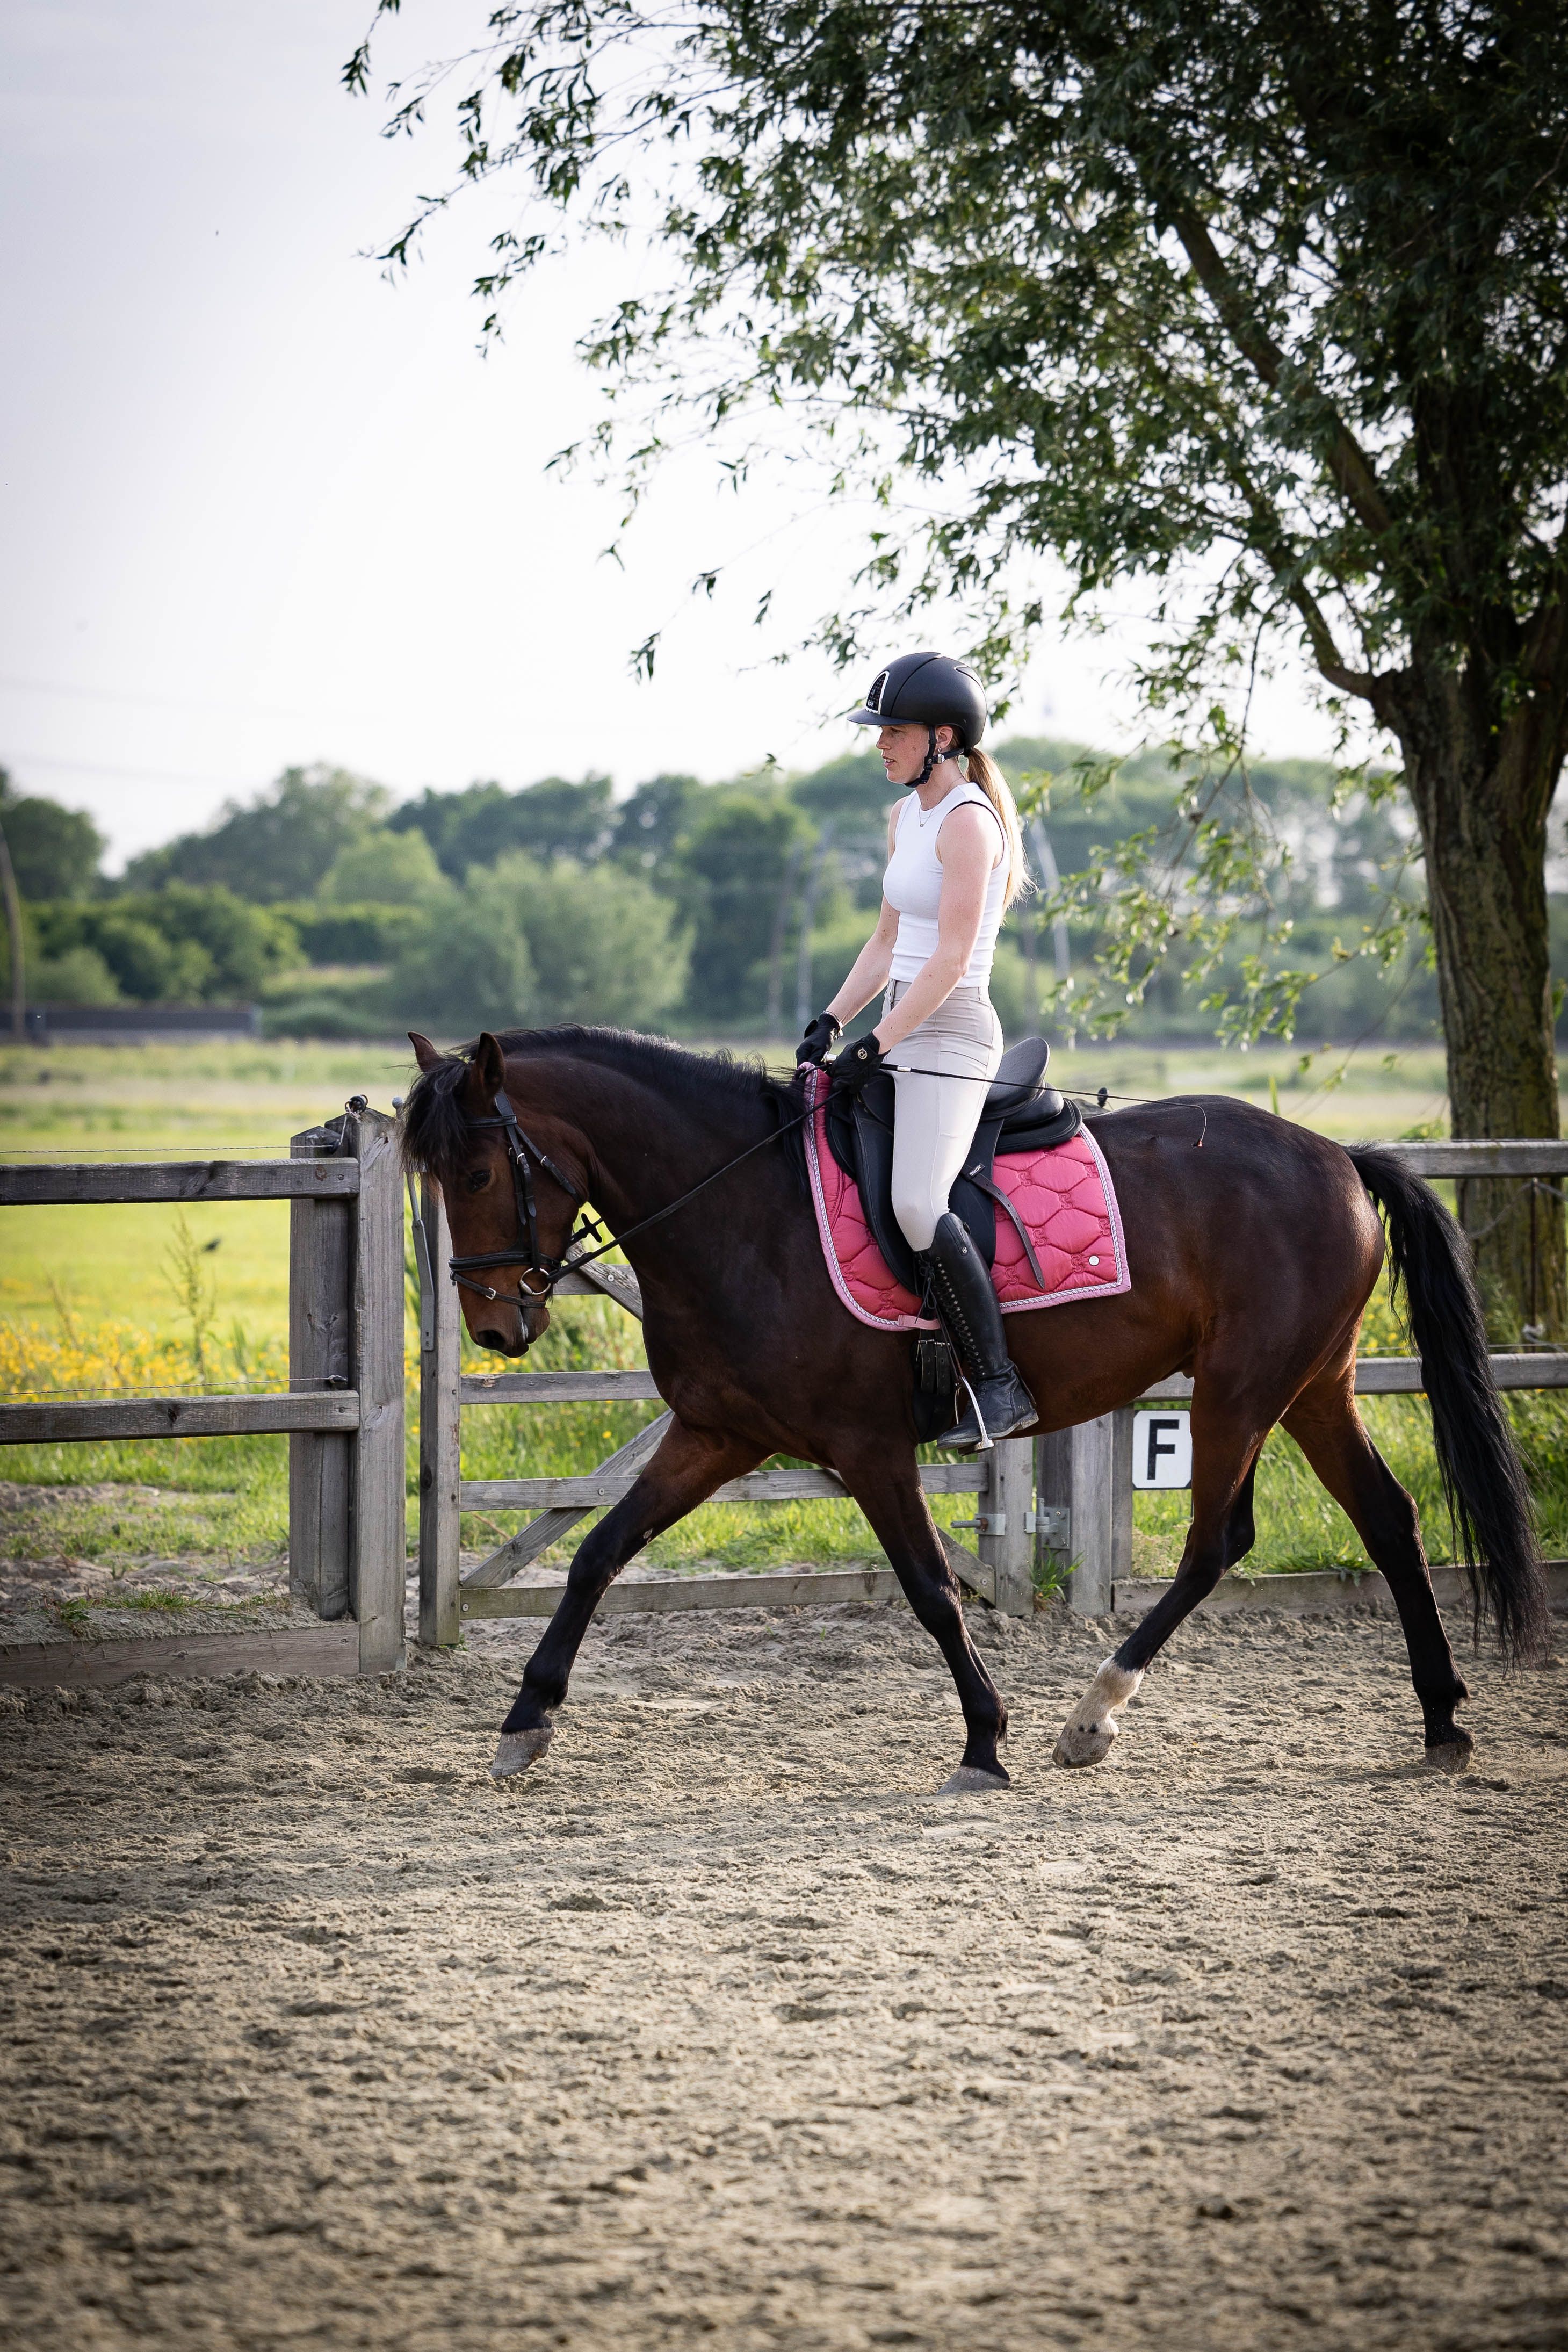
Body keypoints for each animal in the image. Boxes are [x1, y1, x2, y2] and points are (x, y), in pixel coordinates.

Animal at [401, 1025, 1548, 1789]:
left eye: (476, 1170)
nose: (495, 1330)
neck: (743, 1209)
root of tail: (1336, 1157)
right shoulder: (716, 1433)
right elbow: (597, 1553)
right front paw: (524, 1716)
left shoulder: (866, 1448)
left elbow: (929, 1590)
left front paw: (982, 1742)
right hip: (1313, 1384)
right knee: (1388, 1520)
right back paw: (1439, 1722)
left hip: (1241, 1387)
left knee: (1217, 1540)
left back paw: (1091, 1716)